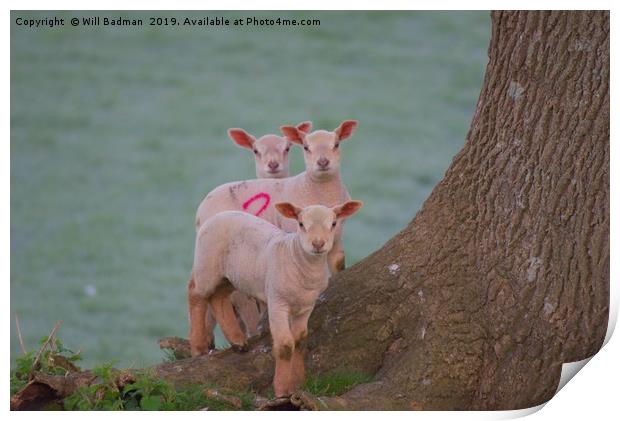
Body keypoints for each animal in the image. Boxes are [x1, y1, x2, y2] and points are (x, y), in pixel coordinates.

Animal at [189, 199, 364, 394]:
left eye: (333, 223)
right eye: (301, 224)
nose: (318, 244)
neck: (297, 259)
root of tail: (215, 216)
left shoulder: (307, 306)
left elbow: (300, 340)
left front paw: (297, 382)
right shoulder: (277, 303)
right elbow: (285, 345)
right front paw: (282, 389)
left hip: (231, 276)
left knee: (218, 298)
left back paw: (238, 342)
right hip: (207, 264)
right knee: (195, 294)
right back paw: (198, 347)